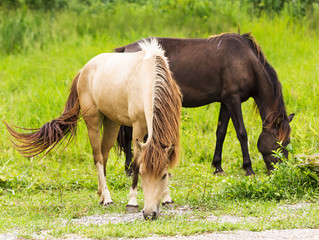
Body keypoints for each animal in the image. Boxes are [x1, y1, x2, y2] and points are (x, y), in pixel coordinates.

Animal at [4, 39, 182, 221]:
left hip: (112, 123)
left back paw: (101, 195)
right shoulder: (138, 126)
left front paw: (167, 198)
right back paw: (107, 199)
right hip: (93, 122)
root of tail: (84, 70)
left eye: (163, 175)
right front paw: (132, 202)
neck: (149, 77)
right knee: (98, 157)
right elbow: (135, 162)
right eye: (143, 173)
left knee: (104, 155)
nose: (149, 214)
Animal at [115, 31, 296, 175]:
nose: (282, 171)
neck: (246, 61)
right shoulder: (233, 100)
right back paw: (130, 169)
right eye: (281, 142)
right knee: (130, 134)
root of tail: (126, 49)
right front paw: (248, 168)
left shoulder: (226, 102)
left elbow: (221, 132)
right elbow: (242, 133)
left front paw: (218, 167)